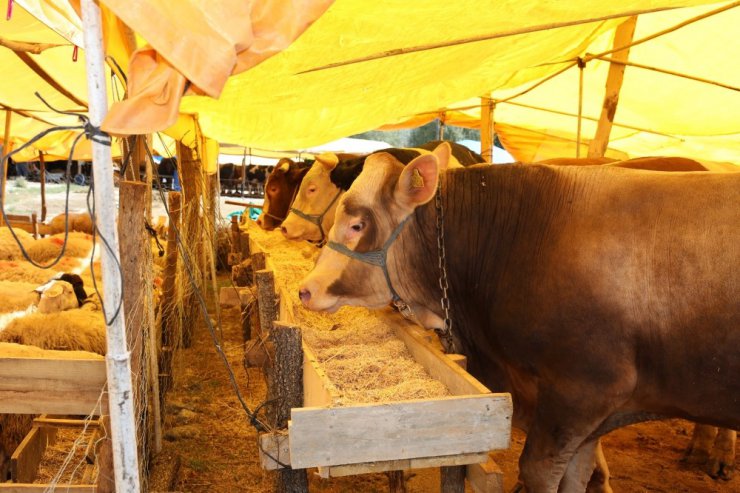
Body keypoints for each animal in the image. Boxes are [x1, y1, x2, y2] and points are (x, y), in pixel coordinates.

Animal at [300, 148, 740, 490]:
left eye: (357, 224)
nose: (306, 289)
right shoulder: (586, 418)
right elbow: (576, 476)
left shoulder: (581, 391)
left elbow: (539, 472)